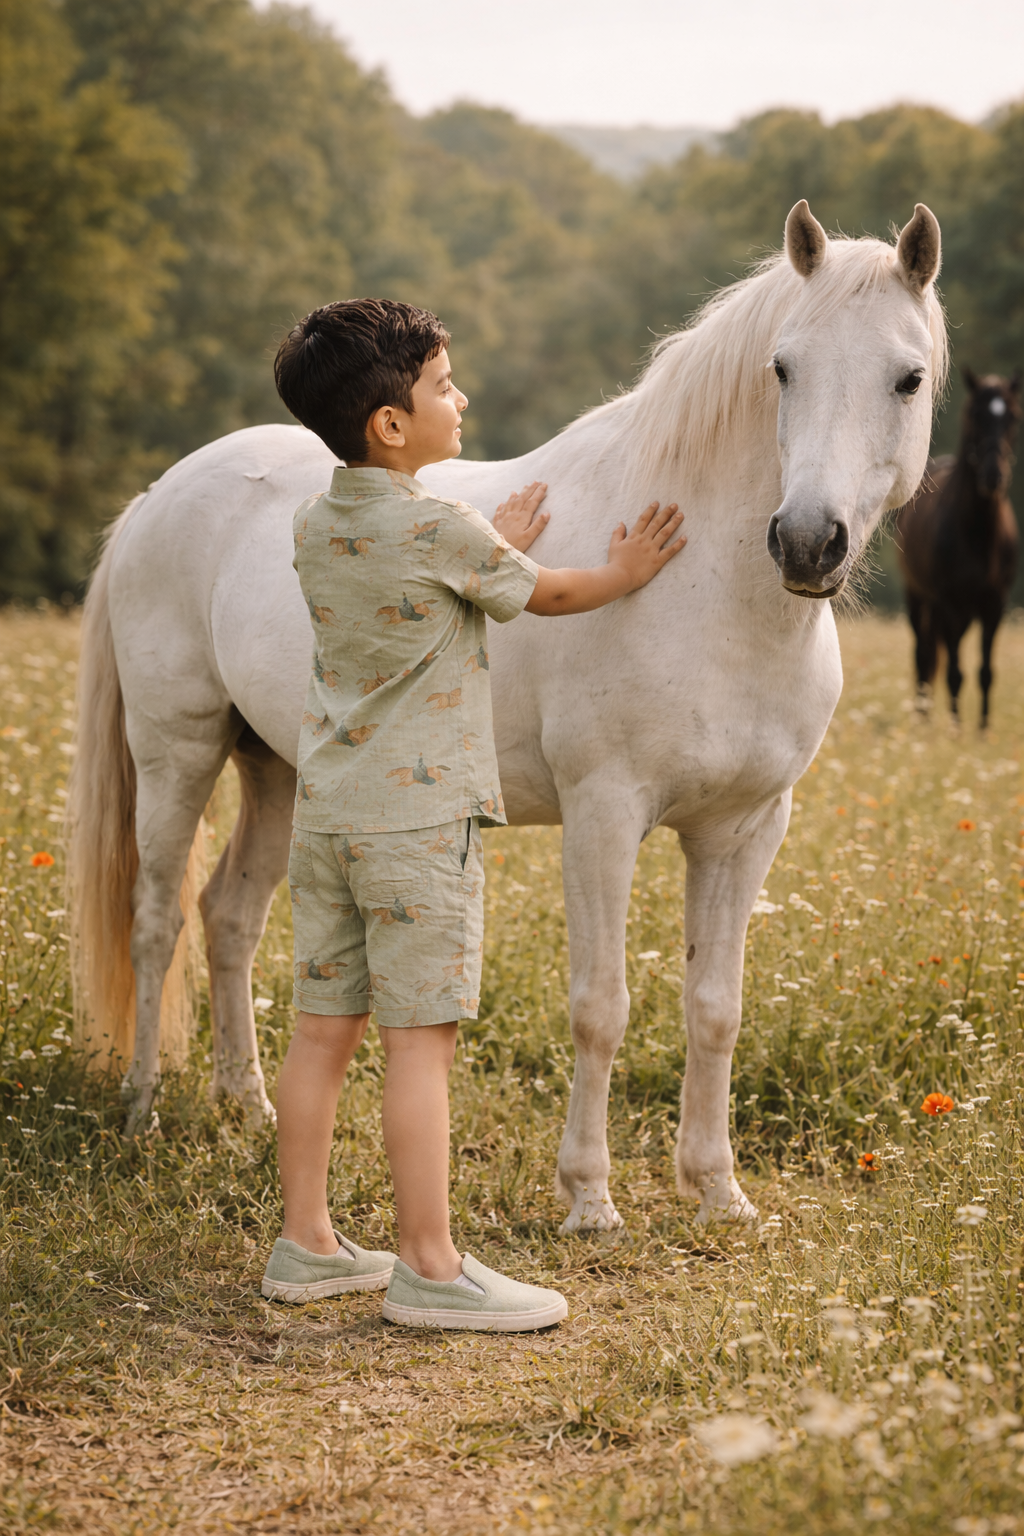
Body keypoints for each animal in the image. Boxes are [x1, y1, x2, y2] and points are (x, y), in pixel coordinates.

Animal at [67, 200, 945, 1230]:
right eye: (783, 368)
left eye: (908, 377)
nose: (807, 543)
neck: (708, 592)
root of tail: (156, 496)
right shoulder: (603, 817)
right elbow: (600, 1007)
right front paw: (589, 1199)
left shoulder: (745, 831)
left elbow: (716, 1008)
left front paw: (717, 1191)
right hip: (178, 752)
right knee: (155, 920)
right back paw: (142, 1111)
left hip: (278, 771)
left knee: (229, 918)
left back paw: (247, 1108)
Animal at [897, 369, 1020, 726]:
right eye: (976, 414)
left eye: (1012, 417)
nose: (993, 475)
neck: (978, 533)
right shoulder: (949, 603)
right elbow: (954, 673)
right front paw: (955, 729)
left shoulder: (994, 605)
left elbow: (986, 672)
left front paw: (982, 729)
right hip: (919, 598)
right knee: (923, 655)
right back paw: (923, 718)